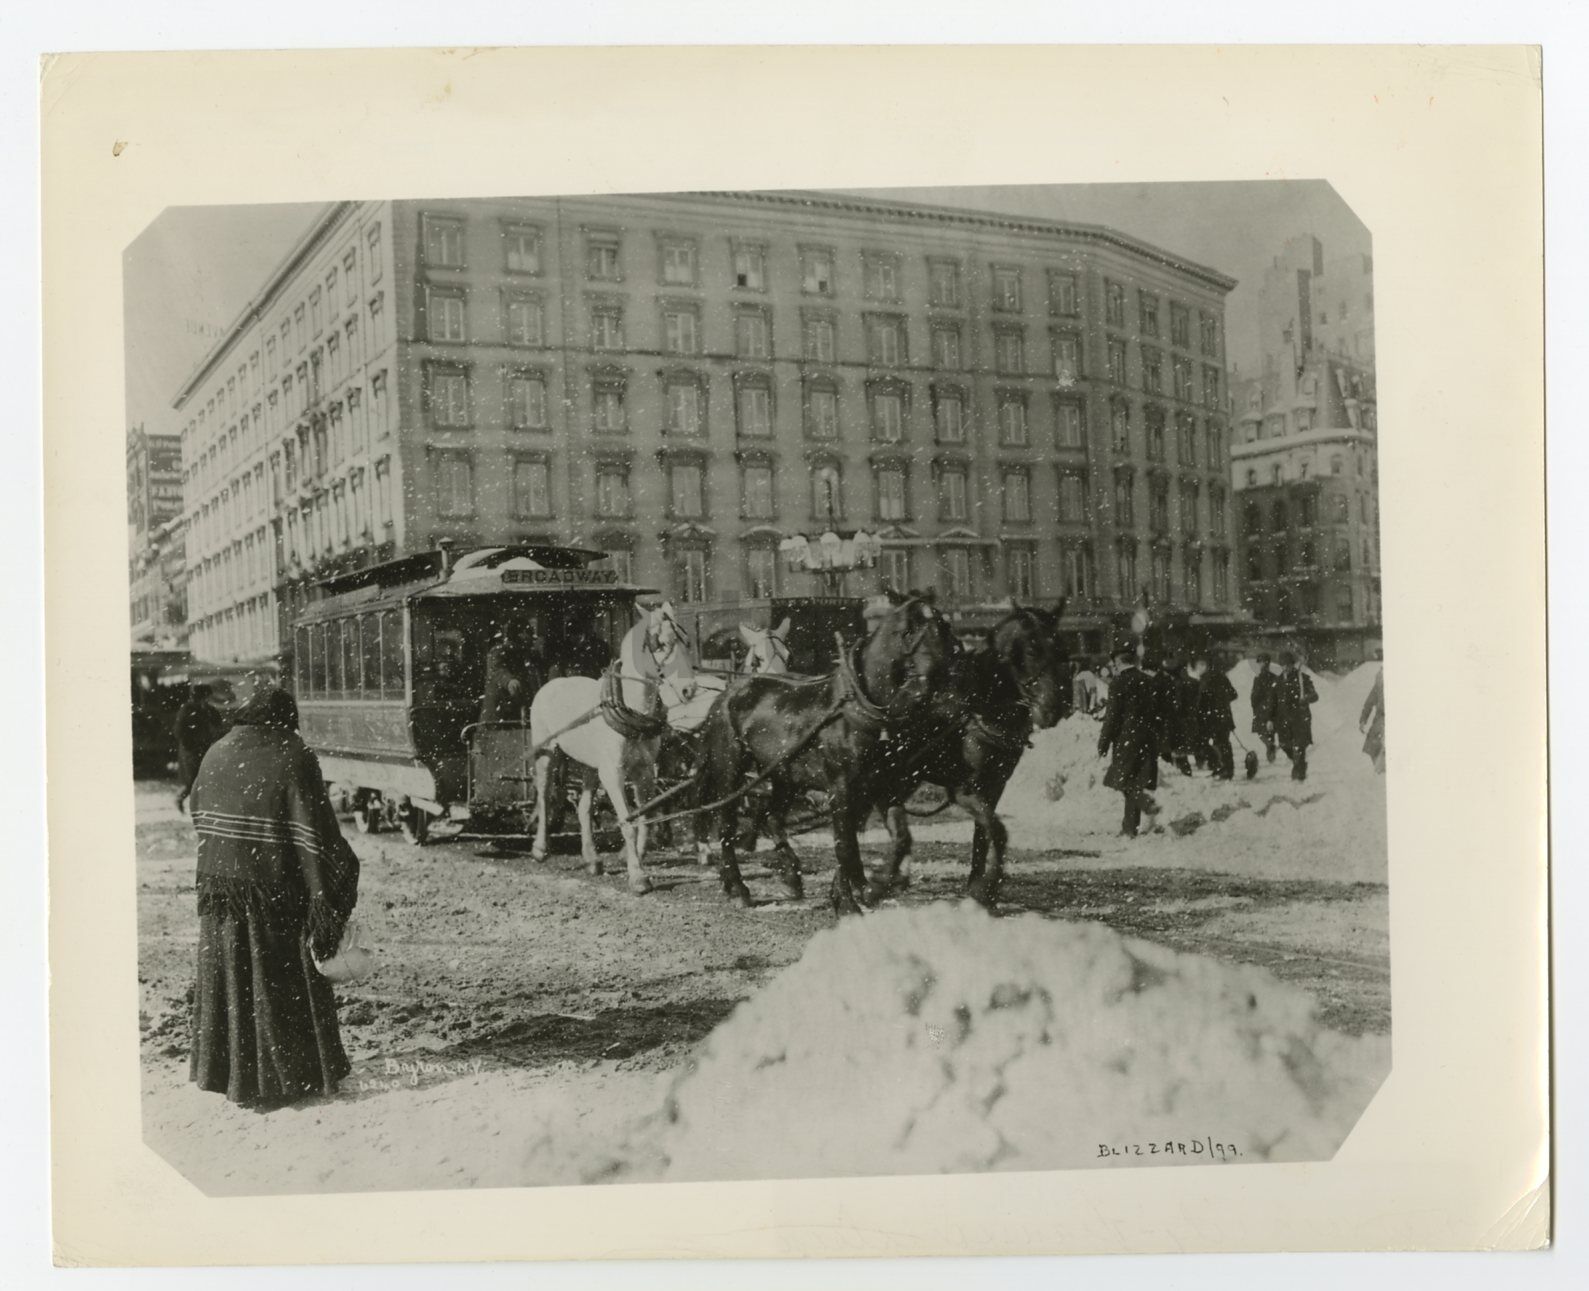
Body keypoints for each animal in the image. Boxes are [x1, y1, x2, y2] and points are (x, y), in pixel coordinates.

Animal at [527, 600, 695, 890]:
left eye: (687, 642)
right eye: (661, 644)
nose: (690, 689)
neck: (631, 709)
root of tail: (552, 683)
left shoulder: (644, 773)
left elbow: (643, 818)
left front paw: (635, 858)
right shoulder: (613, 773)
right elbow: (626, 822)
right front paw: (638, 876)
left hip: (590, 765)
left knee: (583, 806)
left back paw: (592, 859)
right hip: (546, 752)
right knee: (545, 794)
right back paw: (540, 848)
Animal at [695, 597, 953, 915]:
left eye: (944, 629)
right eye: (913, 634)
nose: (944, 680)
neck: (859, 710)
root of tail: (727, 692)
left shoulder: (881, 788)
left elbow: (898, 837)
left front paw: (872, 887)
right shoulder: (840, 788)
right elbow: (845, 844)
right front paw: (851, 901)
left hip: (783, 775)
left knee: (770, 816)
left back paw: (791, 877)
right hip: (730, 770)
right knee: (727, 824)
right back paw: (738, 887)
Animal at [870, 604, 1080, 915]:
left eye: (1063, 649)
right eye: (1032, 650)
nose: (1054, 709)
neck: (980, 706)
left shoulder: (995, 785)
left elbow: (983, 833)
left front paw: (978, 890)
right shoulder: (964, 789)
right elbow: (998, 830)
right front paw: (987, 886)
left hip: (905, 776)